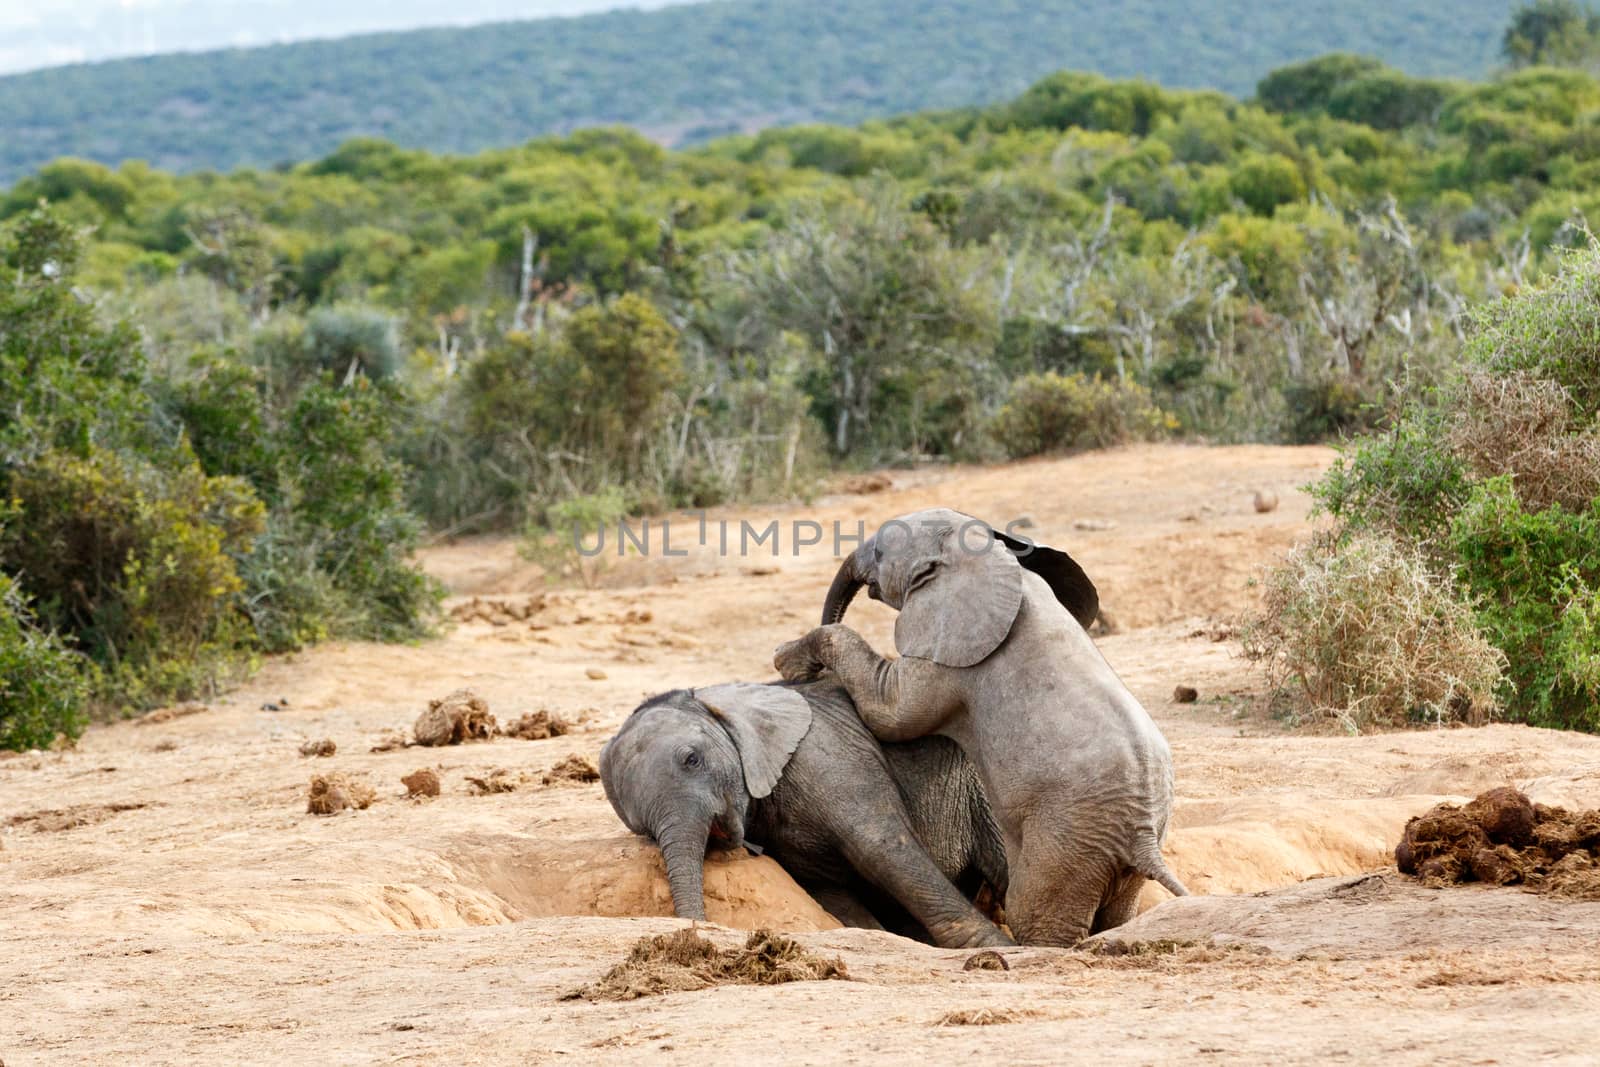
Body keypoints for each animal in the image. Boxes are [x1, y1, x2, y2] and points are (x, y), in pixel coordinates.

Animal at [601, 681, 1011, 947]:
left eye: (692, 759)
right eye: (643, 828)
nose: (697, 935)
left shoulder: (826, 755)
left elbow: (881, 848)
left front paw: (996, 947)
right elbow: (834, 894)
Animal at [774, 511, 1190, 953]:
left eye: (882, 552)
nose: (813, 677)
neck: (978, 552)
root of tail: (1142, 839)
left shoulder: (948, 650)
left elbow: (890, 712)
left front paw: (788, 662)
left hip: (1066, 840)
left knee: (1034, 910)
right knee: (1117, 911)